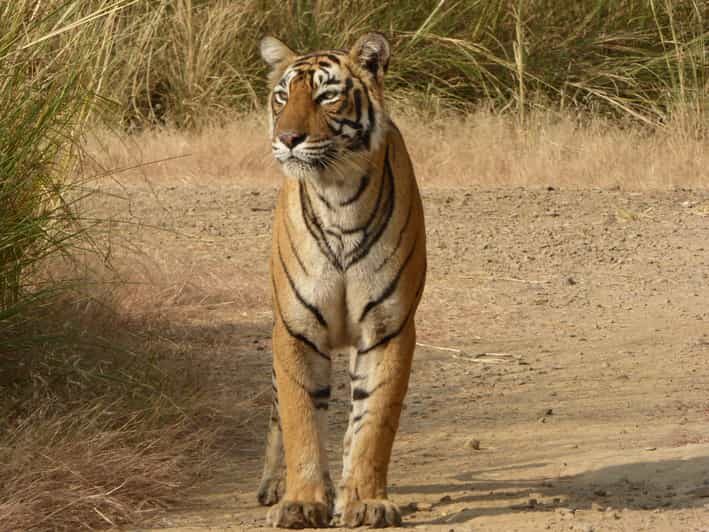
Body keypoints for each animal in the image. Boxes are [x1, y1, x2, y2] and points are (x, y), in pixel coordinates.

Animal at [256, 32, 427, 529]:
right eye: (282, 96)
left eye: (326, 96)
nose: (287, 139)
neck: (338, 198)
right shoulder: (295, 328)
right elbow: (299, 419)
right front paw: (301, 501)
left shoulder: (388, 327)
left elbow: (374, 422)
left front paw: (367, 501)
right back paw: (274, 485)